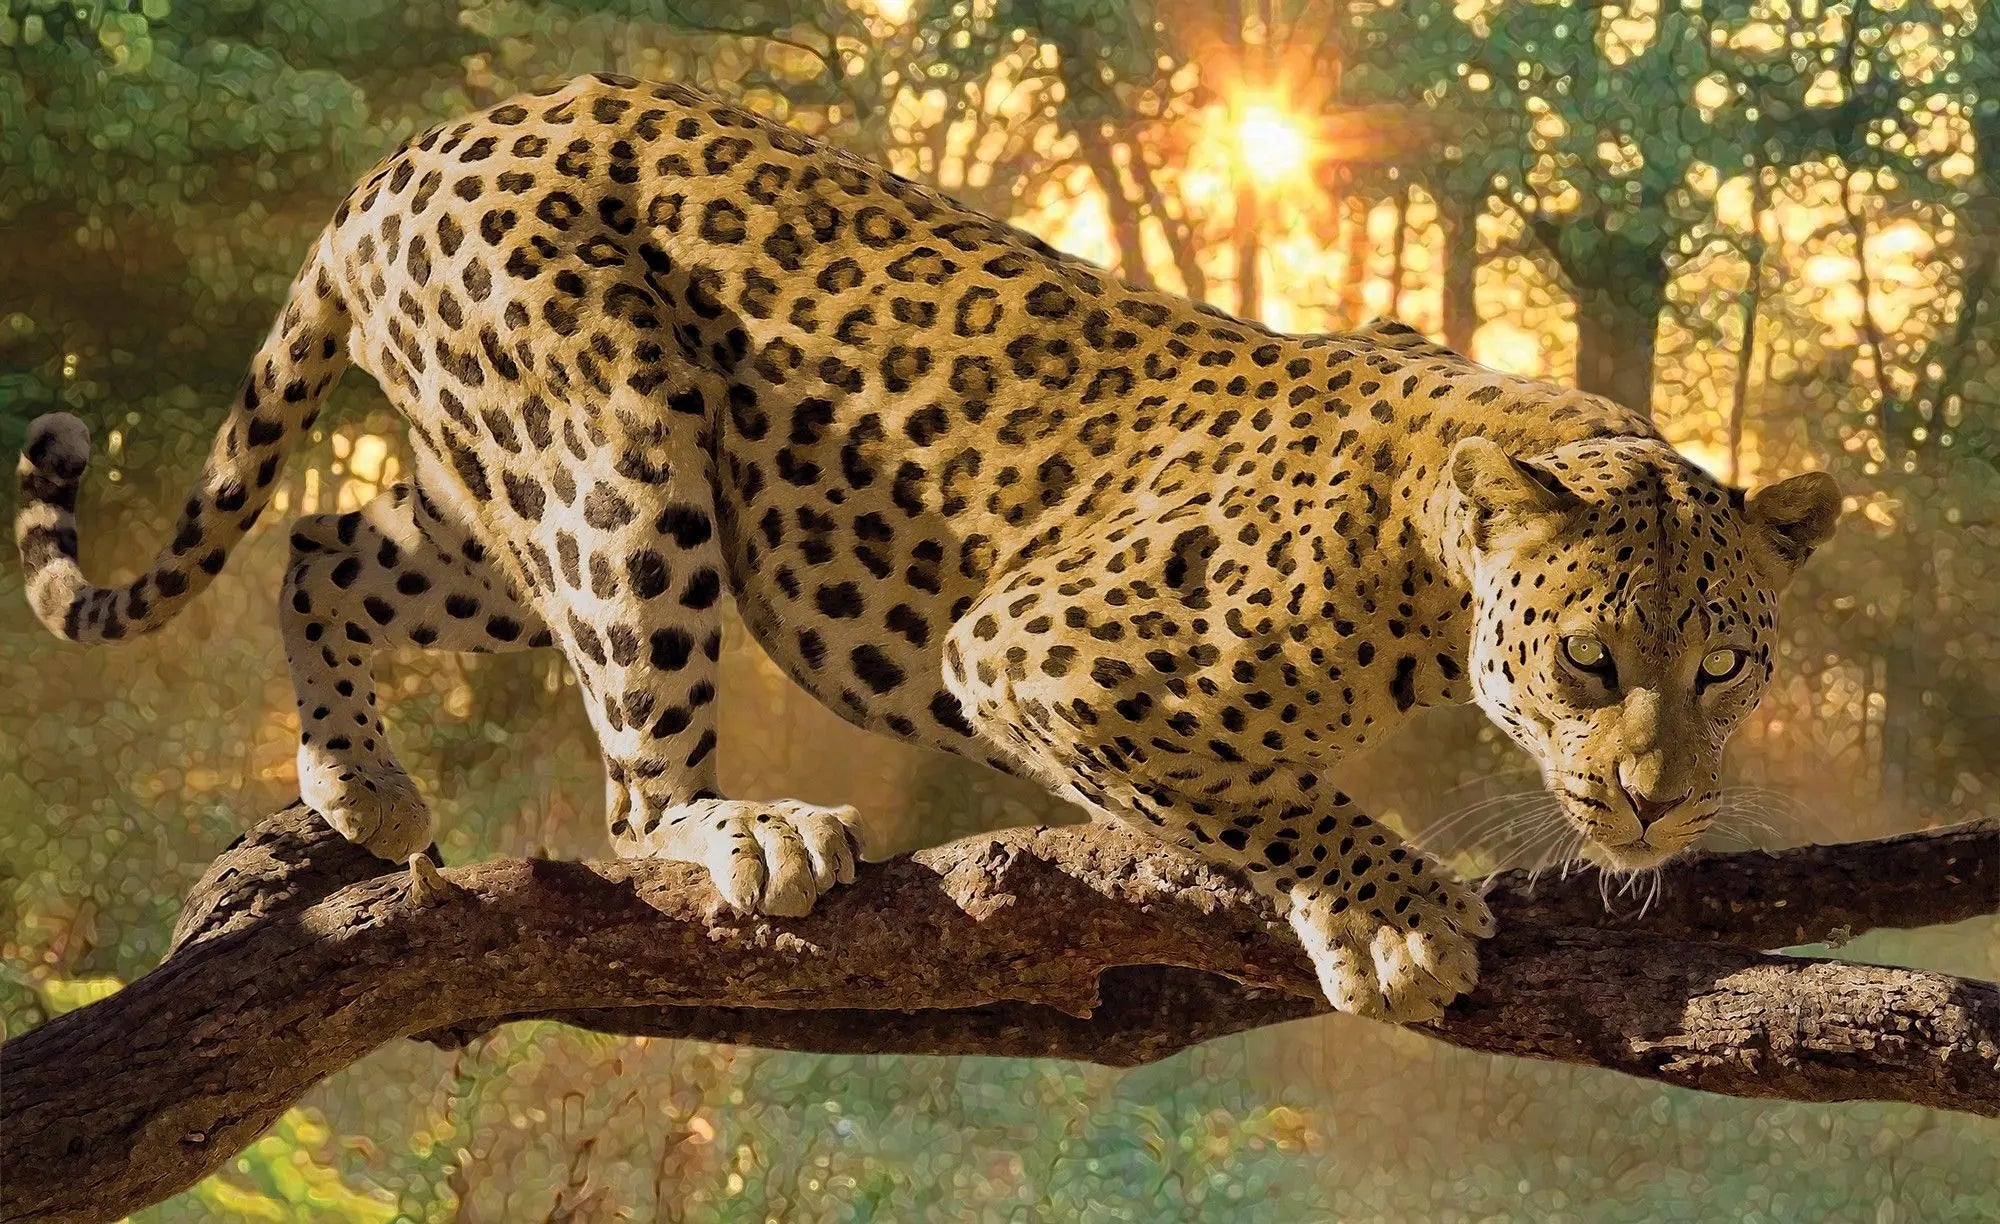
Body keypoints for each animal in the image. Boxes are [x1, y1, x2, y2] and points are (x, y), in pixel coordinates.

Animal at [15, 74, 1841, 1023]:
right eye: (1589, 660)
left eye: (1732, 669)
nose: (1656, 805)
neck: (1430, 565)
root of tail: (408, 152)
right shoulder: (1037, 648)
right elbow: (1271, 789)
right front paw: (1386, 914)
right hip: (622, 457)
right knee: (629, 792)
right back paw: (745, 828)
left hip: (505, 501)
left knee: (323, 541)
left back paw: (358, 784)